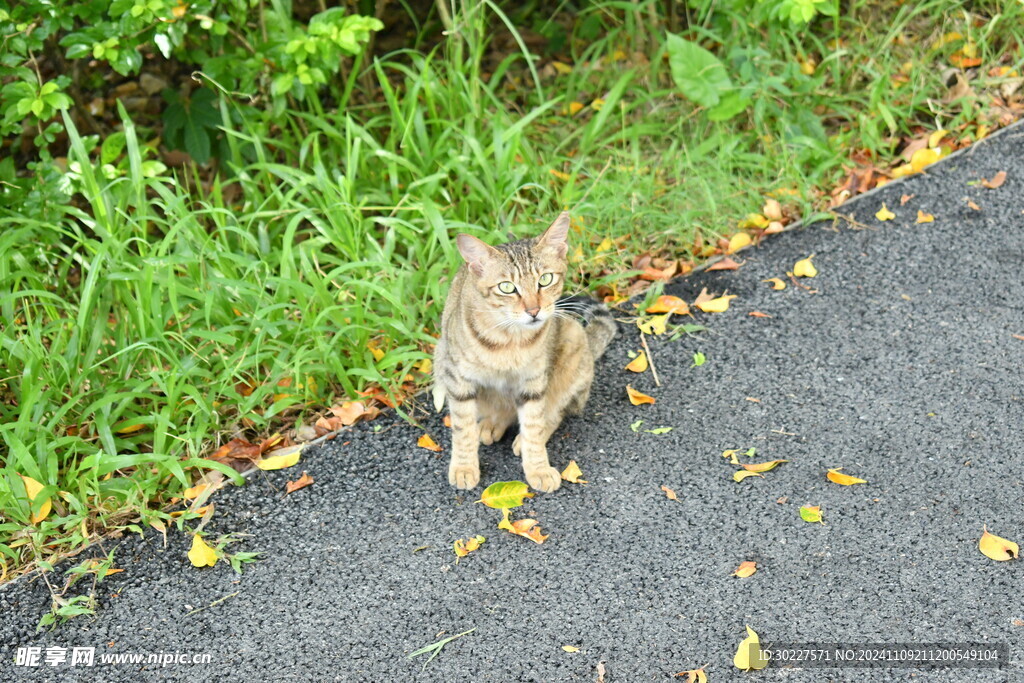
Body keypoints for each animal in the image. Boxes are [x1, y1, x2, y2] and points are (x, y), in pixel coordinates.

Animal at [432, 211, 614, 491]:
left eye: (545, 280)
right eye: (507, 287)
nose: (533, 310)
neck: (509, 342)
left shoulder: (534, 382)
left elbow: (533, 424)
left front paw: (537, 468)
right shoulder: (457, 380)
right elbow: (462, 429)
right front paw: (464, 467)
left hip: (572, 343)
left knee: (555, 412)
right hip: (440, 356)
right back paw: (490, 425)